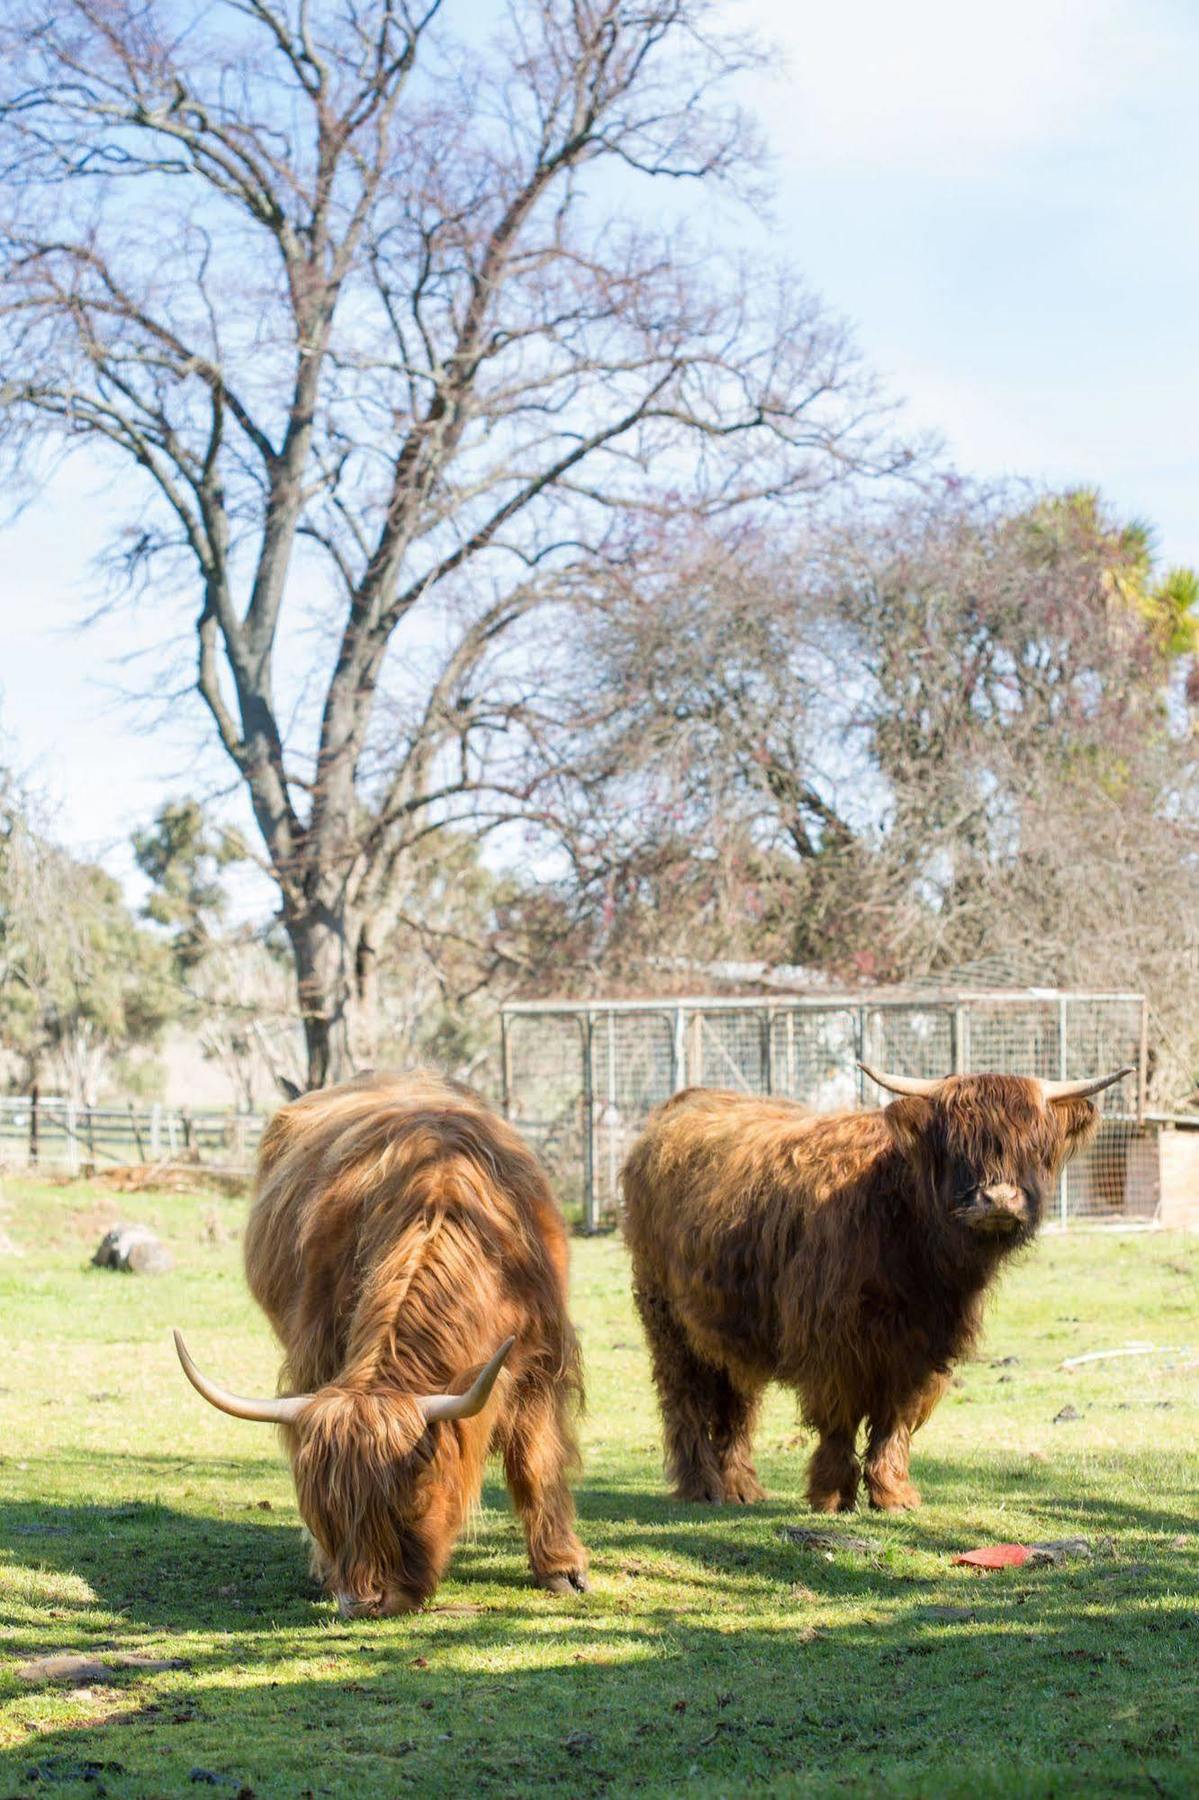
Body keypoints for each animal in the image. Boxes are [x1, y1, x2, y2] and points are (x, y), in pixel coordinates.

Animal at [175, 1065, 586, 1620]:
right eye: (322, 1509)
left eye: (408, 1501)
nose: (363, 1601)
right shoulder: (315, 1351)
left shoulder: (542, 1359)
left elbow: (535, 1460)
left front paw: (562, 1570)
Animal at [619, 1058, 1123, 1512]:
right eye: (956, 1146)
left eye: (1033, 1147)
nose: (998, 1199)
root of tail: (685, 1101)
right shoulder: (830, 1343)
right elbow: (839, 1420)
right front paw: (831, 1494)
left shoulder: (922, 1349)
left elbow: (894, 1422)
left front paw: (893, 1495)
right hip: (665, 1316)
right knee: (683, 1398)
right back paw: (700, 1486)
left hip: (732, 1325)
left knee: (736, 1402)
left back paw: (742, 1488)